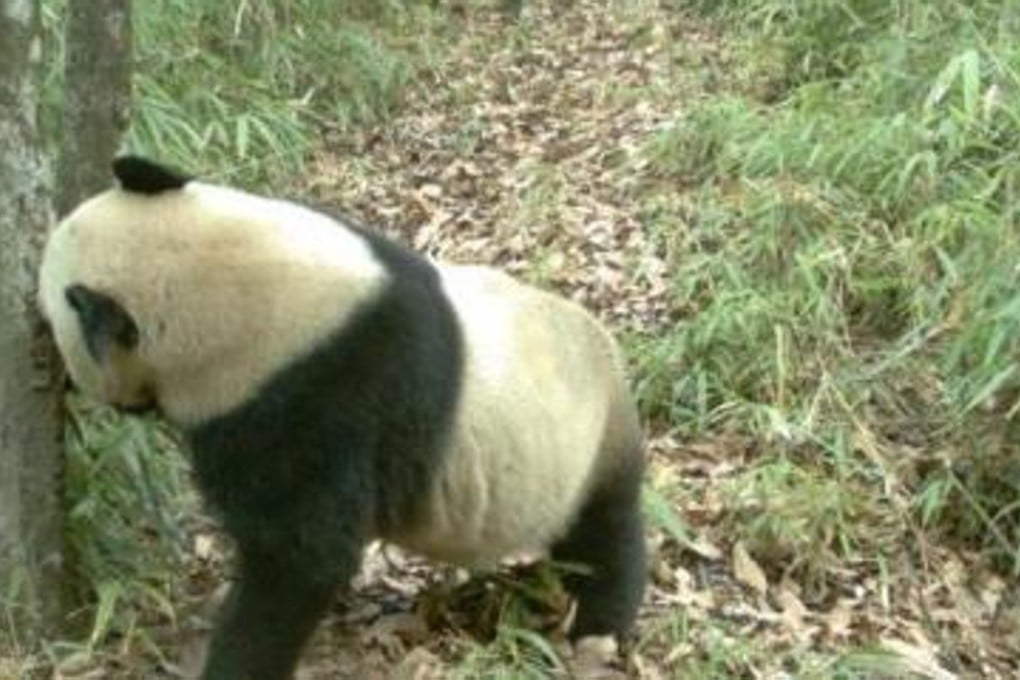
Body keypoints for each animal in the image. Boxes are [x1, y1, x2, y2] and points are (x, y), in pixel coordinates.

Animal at [38, 156, 646, 680]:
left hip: (586, 449)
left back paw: (597, 628)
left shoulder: (307, 402)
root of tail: (612, 355)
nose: (58, 373)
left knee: (605, 535)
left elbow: (301, 559)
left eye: (50, 320)